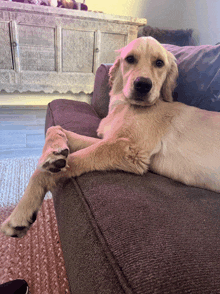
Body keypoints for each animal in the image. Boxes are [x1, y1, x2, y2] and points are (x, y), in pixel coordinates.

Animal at [1, 37, 220, 239]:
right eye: (130, 59)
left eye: (159, 63)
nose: (143, 85)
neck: (124, 105)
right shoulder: (110, 139)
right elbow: (56, 128)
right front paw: (54, 153)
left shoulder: (127, 149)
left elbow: (58, 166)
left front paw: (21, 213)